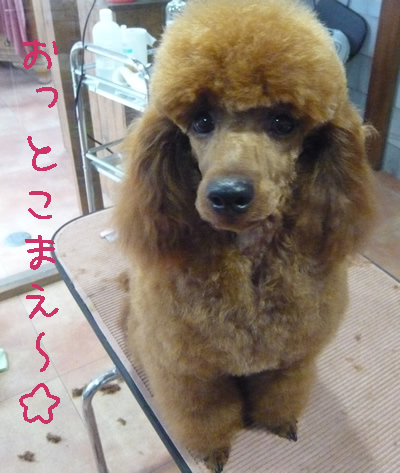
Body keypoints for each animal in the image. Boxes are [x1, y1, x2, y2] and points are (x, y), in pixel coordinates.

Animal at [115, 0, 375, 471]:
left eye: (283, 122)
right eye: (201, 122)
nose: (228, 195)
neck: (251, 260)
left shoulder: (291, 358)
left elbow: (280, 394)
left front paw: (278, 423)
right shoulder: (191, 372)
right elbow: (205, 415)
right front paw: (213, 450)